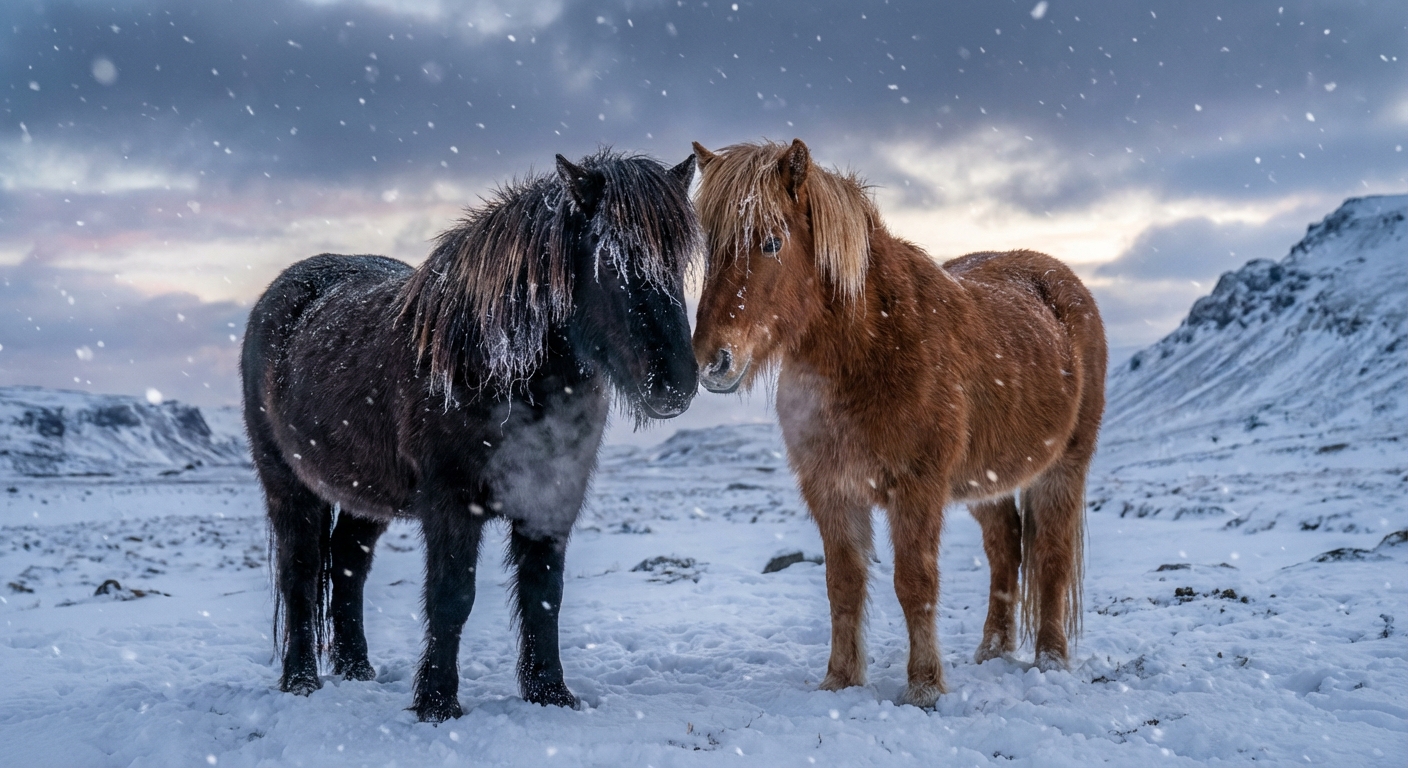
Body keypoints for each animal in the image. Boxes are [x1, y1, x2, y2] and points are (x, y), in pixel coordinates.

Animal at [241, 149, 700, 722]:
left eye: (678, 264)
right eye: (610, 261)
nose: (676, 387)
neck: (501, 369)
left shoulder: (549, 499)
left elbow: (545, 594)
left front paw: (550, 694)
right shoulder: (452, 502)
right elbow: (452, 596)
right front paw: (437, 704)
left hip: (365, 495)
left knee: (348, 564)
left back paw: (357, 670)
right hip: (288, 484)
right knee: (300, 573)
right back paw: (301, 681)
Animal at [689, 139, 1106, 707]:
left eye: (772, 242)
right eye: (710, 247)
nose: (712, 361)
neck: (872, 347)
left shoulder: (917, 487)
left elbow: (915, 583)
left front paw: (924, 687)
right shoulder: (832, 489)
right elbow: (843, 585)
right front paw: (840, 680)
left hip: (1064, 467)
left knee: (1052, 557)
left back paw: (1051, 660)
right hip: (986, 481)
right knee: (1005, 547)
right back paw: (992, 652)